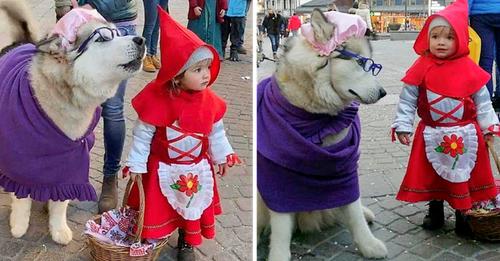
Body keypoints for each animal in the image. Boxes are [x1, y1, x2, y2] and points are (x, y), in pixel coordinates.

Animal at [0, 0, 145, 244]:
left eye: (119, 33)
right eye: (103, 38)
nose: (141, 40)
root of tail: (15, 44)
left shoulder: (71, 156)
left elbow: (60, 201)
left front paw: (58, 229)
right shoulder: (20, 158)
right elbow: (21, 196)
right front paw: (19, 225)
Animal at [258, 9, 390, 258]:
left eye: (372, 65)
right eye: (361, 63)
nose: (383, 92)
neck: (314, 116)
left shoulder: (344, 167)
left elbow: (353, 207)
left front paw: (368, 244)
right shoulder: (277, 177)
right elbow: (281, 225)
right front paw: (278, 254)